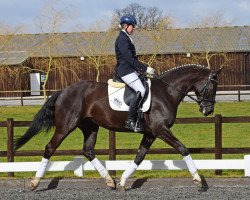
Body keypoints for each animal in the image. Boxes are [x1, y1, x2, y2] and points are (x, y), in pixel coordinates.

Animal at [14, 64, 221, 191]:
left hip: (90, 127)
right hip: (66, 126)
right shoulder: (160, 129)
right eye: (212, 87)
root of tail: (64, 90)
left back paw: (110, 181)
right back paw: (34, 183)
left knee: (88, 150)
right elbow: (182, 148)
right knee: (50, 148)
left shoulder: (150, 133)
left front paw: (122, 181)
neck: (166, 92)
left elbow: (139, 157)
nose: (208, 110)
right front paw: (198, 180)